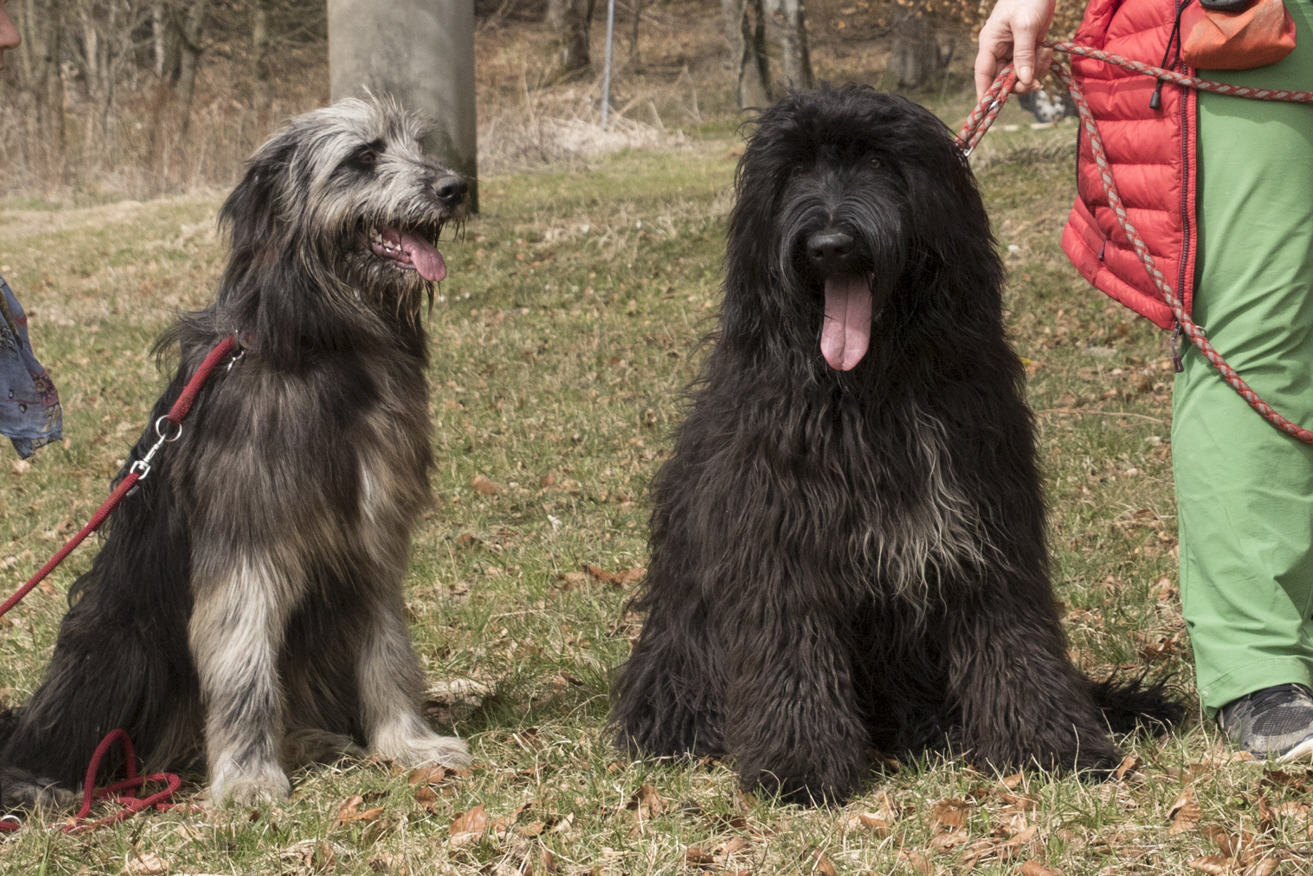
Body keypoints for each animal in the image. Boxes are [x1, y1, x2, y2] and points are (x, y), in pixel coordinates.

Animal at [0, 98, 472, 808]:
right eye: (363, 156)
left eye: (418, 147)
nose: (455, 187)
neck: (321, 346)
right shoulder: (246, 542)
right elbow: (244, 662)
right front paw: (249, 778)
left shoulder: (373, 541)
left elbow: (387, 648)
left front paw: (408, 743)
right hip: (120, 644)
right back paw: (43, 781)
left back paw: (310, 738)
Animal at [609, 85, 1177, 804]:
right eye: (797, 171)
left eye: (880, 164)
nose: (829, 245)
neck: (872, 389)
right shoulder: (782, 544)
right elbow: (790, 647)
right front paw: (799, 765)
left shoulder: (985, 523)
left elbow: (1012, 636)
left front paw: (1051, 744)